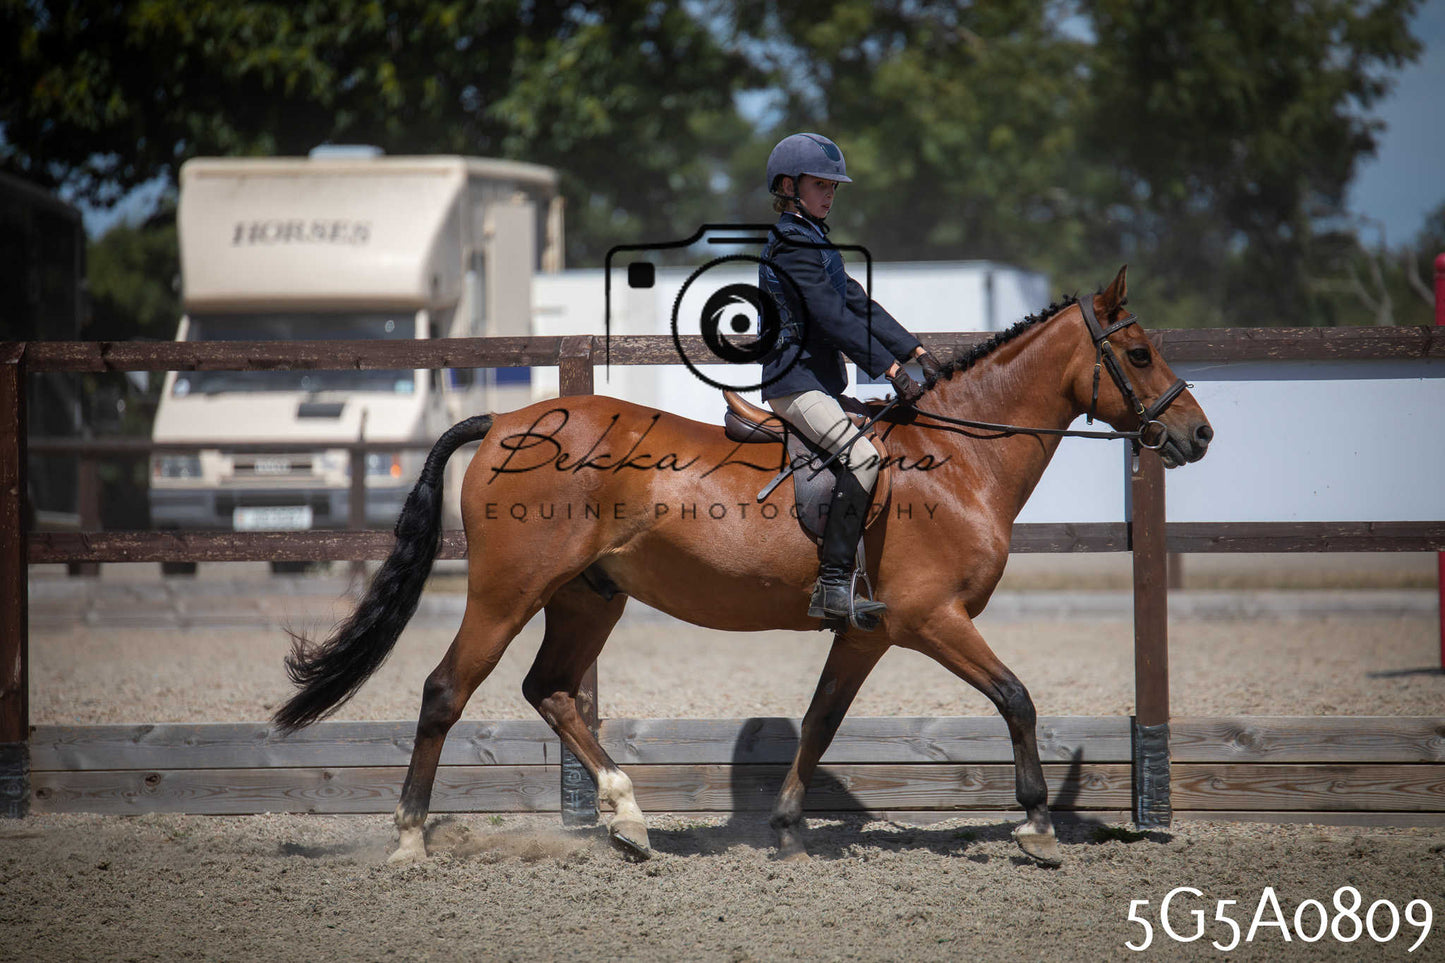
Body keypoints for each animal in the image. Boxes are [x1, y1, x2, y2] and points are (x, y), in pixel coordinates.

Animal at [273, 265, 1213, 866]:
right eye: (1137, 354)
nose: (1197, 434)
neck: (952, 459)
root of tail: (506, 417)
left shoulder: (869, 632)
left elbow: (821, 719)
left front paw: (787, 825)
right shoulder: (930, 618)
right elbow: (1016, 697)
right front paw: (1037, 827)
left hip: (588, 597)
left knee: (552, 690)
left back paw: (629, 819)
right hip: (508, 591)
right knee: (445, 691)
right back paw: (408, 839)